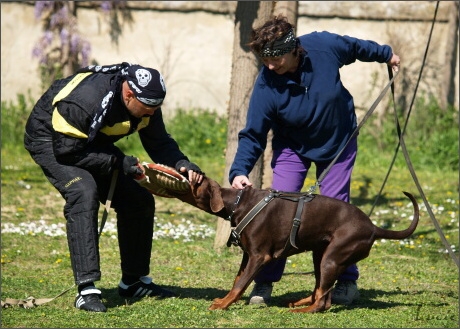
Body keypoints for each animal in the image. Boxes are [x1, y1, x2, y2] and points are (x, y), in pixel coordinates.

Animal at [170, 176, 420, 312]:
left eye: (194, 179)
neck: (238, 203)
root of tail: (374, 227)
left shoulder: (259, 256)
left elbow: (240, 284)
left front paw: (222, 305)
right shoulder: (247, 255)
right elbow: (236, 281)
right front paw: (224, 300)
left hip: (332, 258)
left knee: (324, 301)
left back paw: (303, 311)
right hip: (320, 256)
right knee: (320, 291)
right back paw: (298, 303)